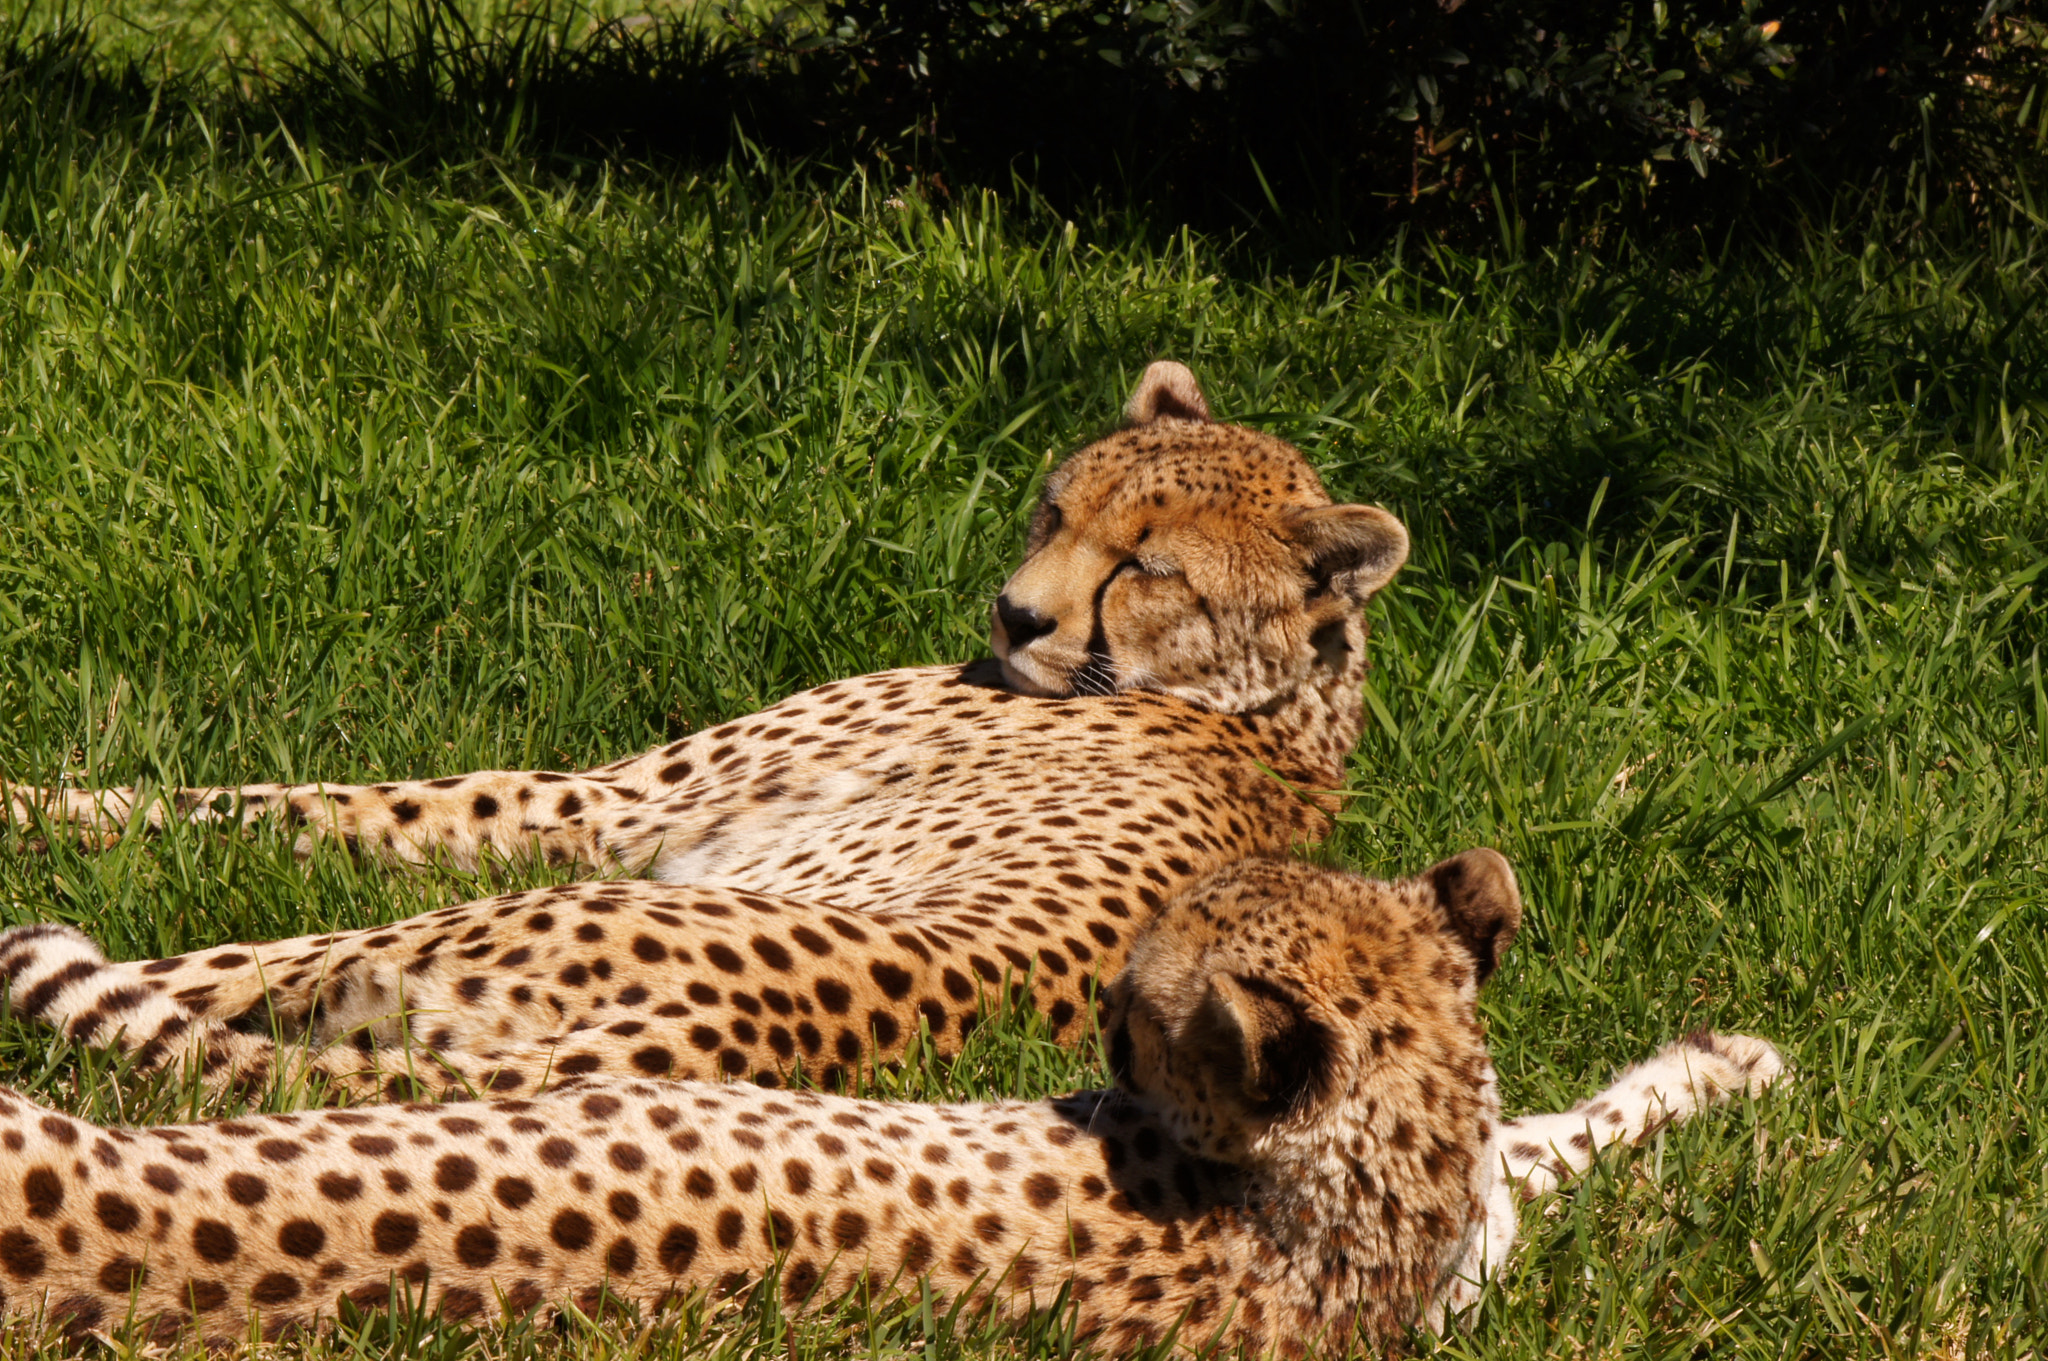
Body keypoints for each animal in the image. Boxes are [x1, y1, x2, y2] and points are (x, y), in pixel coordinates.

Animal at [0, 364, 1417, 1105]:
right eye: (1056, 508)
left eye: (1148, 566)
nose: (1016, 615)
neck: (1262, 705)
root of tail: (735, 1045)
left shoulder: (599, 809)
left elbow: (269, 803)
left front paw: (37, 806)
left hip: (479, 921)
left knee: (198, 967)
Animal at [0, 855, 1785, 1342]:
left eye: (1136, 1004)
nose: (1107, 992)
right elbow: (1540, 1137)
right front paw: (1731, 1066)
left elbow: (1538, 1145)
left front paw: (1716, 1075)